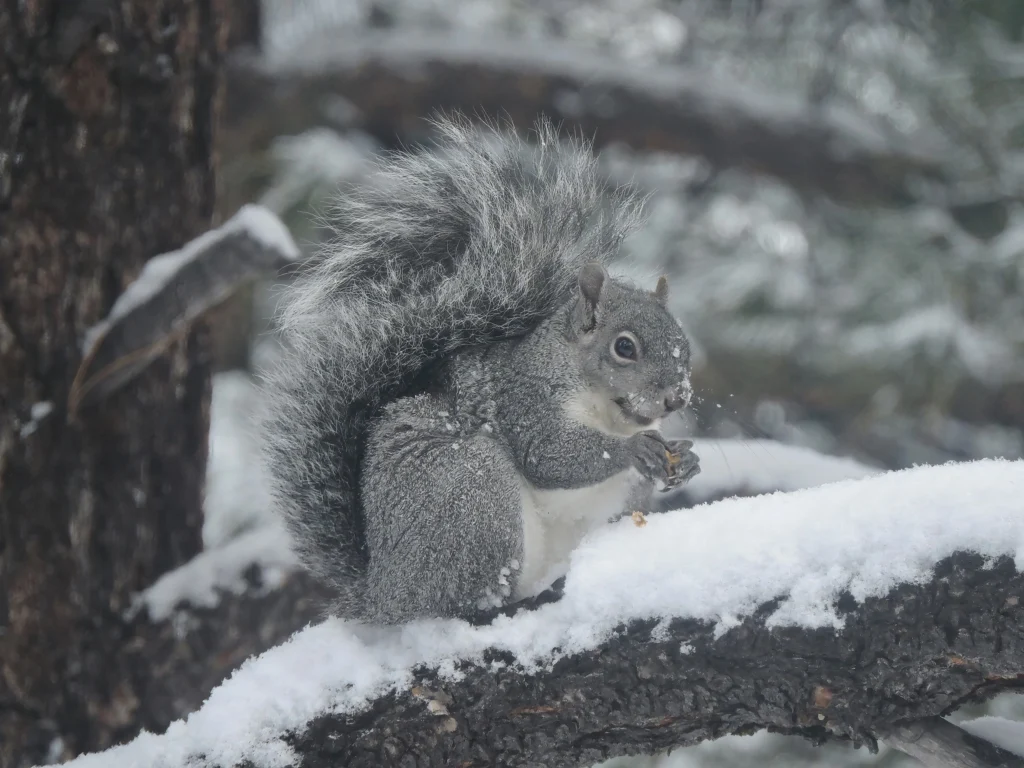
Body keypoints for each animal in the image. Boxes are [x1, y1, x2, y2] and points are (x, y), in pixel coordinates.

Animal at [261, 117, 700, 624]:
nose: (678, 398)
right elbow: (551, 456)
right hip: (472, 493)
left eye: (684, 343)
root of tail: (382, 595)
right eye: (624, 347)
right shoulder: (524, 399)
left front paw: (686, 461)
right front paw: (633, 450)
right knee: (458, 604)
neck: (607, 411)